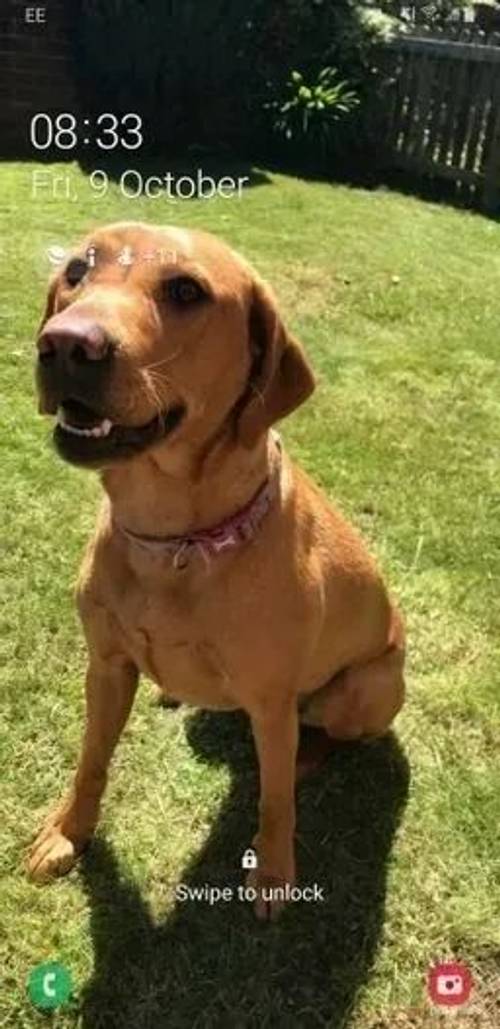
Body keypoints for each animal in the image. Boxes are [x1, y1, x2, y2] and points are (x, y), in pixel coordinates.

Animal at [28, 223, 405, 917]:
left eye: (186, 291)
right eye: (75, 271)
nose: (65, 344)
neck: (174, 539)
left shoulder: (271, 700)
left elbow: (276, 800)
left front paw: (275, 872)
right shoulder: (106, 666)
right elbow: (91, 759)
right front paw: (68, 833)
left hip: (365, 688)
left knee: (330, 736)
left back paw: (308, 753)